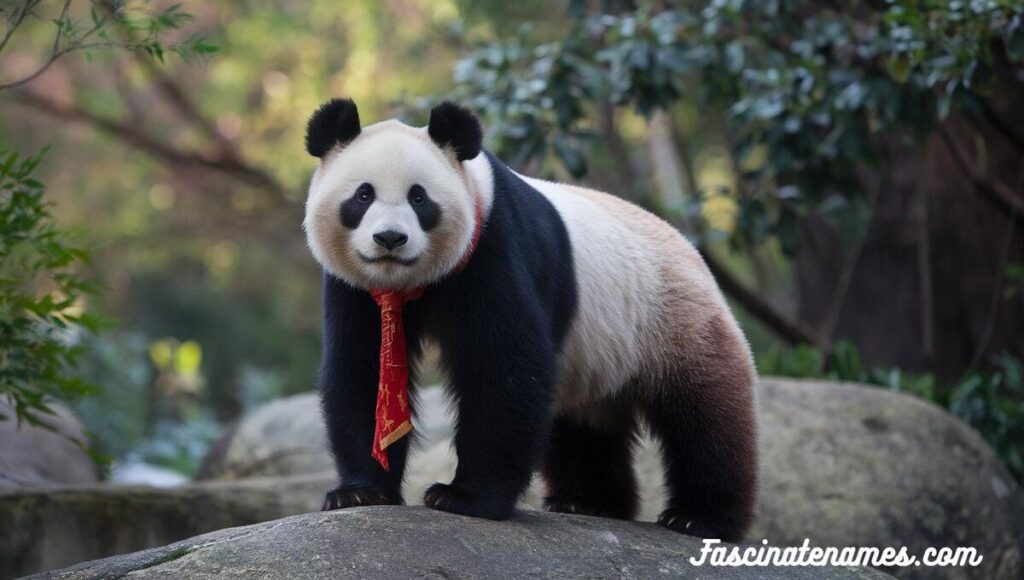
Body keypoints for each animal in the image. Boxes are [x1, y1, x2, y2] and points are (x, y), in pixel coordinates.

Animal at [303, 97, 761, 545]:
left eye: (419, 199)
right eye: (363, 196)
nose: (390, 239)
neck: (408, 284)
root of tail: (693, 252)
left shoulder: (495, 247)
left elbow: (504, 368)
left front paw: (465, 498)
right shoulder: (355, 288)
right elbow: (361, 370)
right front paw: (360, 492)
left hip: (672, 319)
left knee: (705, 420)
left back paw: (699, 518)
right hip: (595, 358)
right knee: (582, 427)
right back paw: (587, 501)